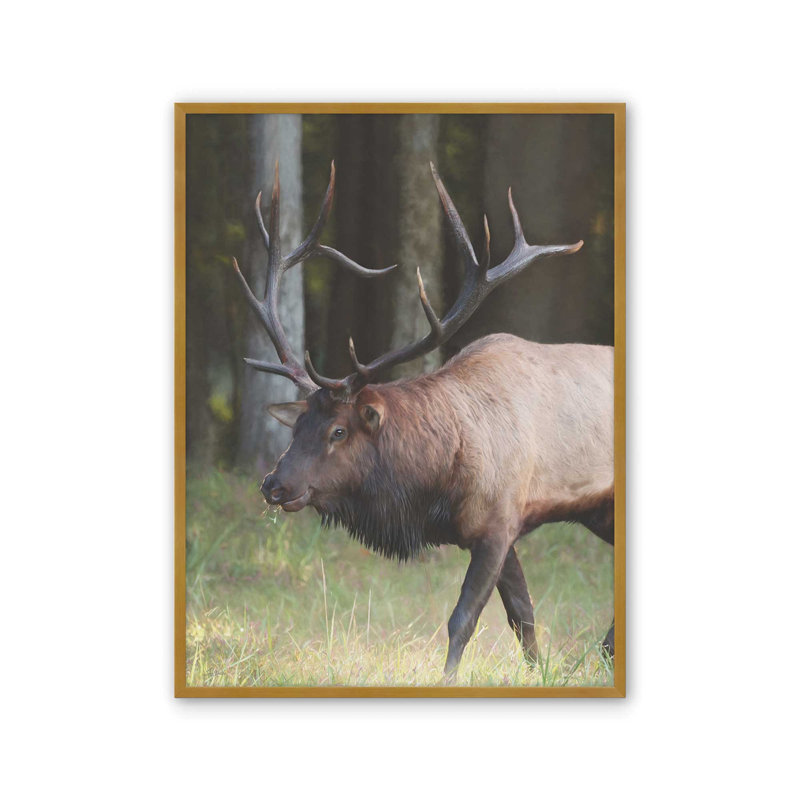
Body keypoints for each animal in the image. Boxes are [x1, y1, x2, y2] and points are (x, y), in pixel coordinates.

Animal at [231, 160, 614, 682]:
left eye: (338, 430)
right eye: (297, 426)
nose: (274, 484)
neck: (436, 487)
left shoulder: (499, 520)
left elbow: (463, 619)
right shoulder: (492, 529)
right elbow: (523, 616)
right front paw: (541, 674)